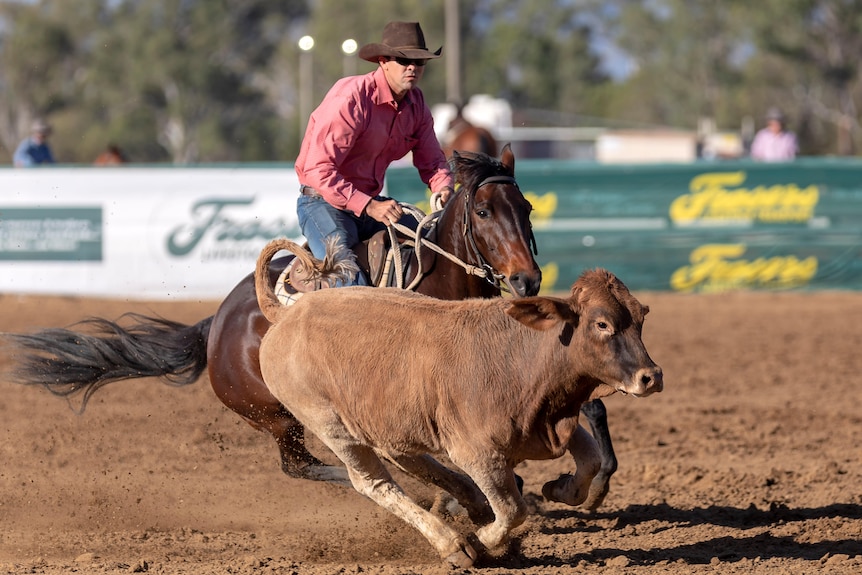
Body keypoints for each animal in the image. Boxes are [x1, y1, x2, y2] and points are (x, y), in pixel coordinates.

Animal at [253, 237, 664, 568]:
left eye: (641, 316)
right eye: (602, 324)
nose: (651, 377)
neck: (525, 355)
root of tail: (286, 313)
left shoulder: (551, 419)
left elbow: (590, 459)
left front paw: (559, 489)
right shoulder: (478, 453)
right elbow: (513, 510)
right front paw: (480, 542)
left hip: (388, 420)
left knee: (411, 460)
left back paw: (473, 505)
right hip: (333, 427)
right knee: (374, 483)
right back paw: (452, 543)